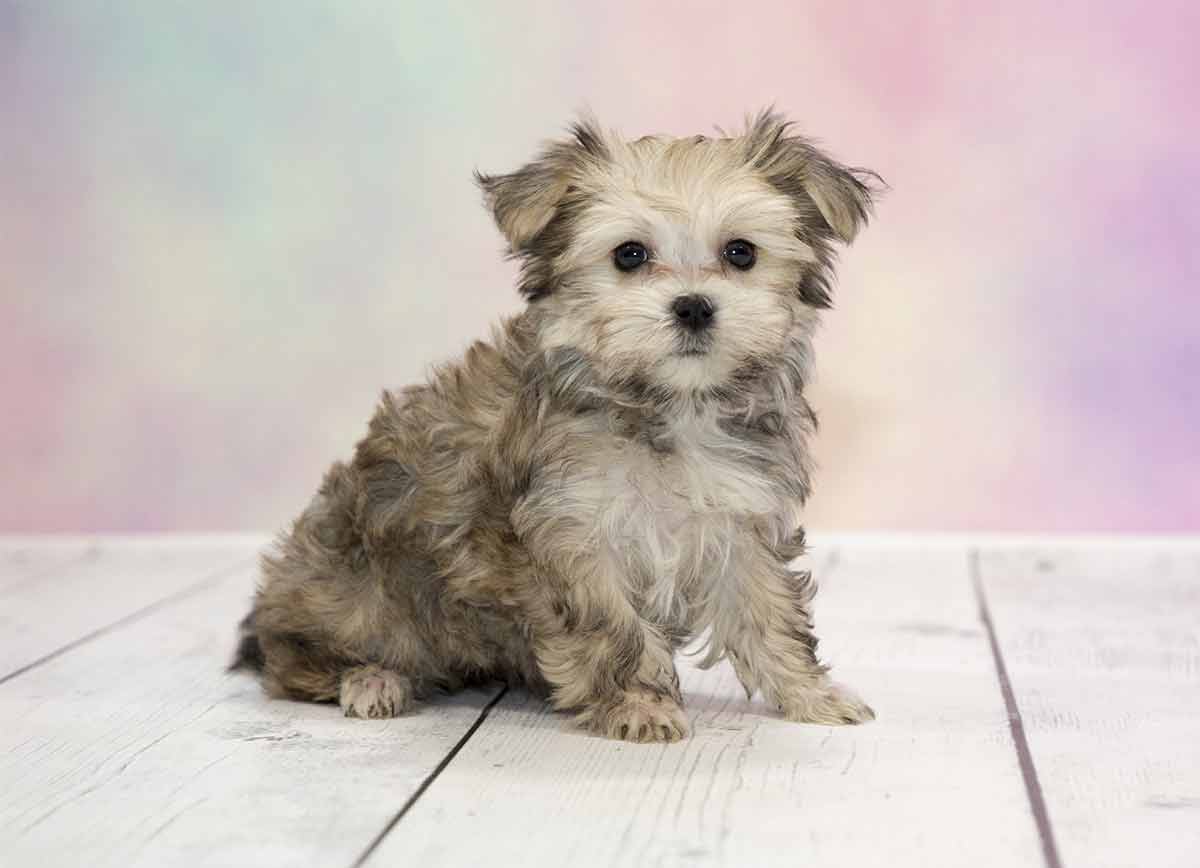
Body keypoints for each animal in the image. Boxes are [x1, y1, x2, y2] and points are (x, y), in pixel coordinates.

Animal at [229, 112, 878, 744]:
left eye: (741, 253)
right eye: (629, 255)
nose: (694, 306)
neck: (667, 405)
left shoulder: (740, 521)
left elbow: (771, 614)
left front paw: (811, 695)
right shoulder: (575, 536)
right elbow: (615, 631)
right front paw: (639, 705)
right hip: (355, 592)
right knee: (296, 657)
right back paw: (370, 680)